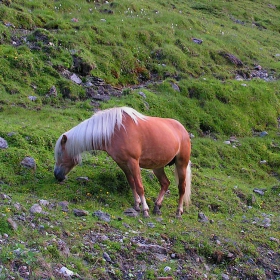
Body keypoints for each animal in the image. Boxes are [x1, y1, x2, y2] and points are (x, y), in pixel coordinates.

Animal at [53, 106, 191, 218]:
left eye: (59, 153)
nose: (57, 175)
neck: (114, 130)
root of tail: (183, 129)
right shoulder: (123, 163)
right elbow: (132, 183)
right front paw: (137, 205)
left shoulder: (133, 162)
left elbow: (140, 187)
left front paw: (145, 210)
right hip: (158, 166)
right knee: (165, 183)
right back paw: (157, 207)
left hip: (181, 164)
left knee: (182, 187)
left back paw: (178, 212)